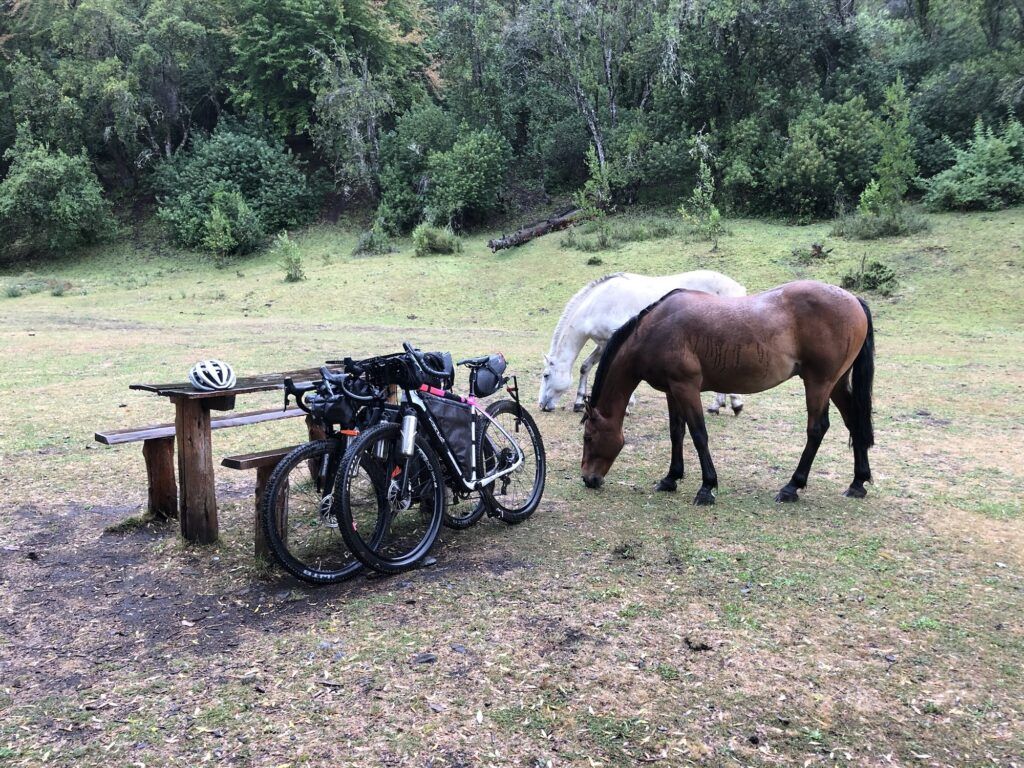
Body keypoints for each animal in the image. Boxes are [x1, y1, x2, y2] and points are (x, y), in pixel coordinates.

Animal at [538, 270, 748, 415]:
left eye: (546, 375)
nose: (541, 405)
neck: (598, 303)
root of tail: (739, 288)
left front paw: (627, 405)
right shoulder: (603, 344)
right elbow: (585, 366)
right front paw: (579, 403)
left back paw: (735, 403)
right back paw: (717, 405)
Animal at [580, 280, 875, 505]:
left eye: (588, 437)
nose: (588, 478)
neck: (656, 329)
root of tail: (853, 299)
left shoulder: (686, 387)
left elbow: (699, 435)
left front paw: (707, 488)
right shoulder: (671, 391)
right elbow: (677, 433)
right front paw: (671, 478)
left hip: (818, 383)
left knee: (817, 429)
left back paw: (792, 486)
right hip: (836, 384)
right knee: (854, 421)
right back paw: (857, 482)